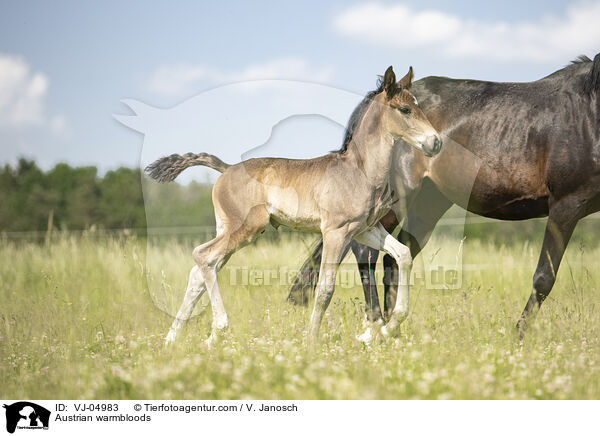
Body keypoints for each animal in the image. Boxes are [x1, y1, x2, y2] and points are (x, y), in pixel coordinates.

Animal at [146, 66, 440, 344]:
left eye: (419, 106)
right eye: (404, 109)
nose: (435, 142)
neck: (360, 170)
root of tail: (226, 168)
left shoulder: (365, 230)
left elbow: (403, 254)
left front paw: (393, 323)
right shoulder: (335, 232)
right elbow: (325, 289)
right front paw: (311, 340)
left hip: (227, 229)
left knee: (200, 271)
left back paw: (175, 340)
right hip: (247, 228)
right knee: (203, 256)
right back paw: (217, 328)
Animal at [288, 54, 600, 338]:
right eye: (405, 110)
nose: (433, 142)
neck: (587, 109)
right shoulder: (566, 205)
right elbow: (544, 277)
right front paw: (519, 337)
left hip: (429, 205)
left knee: (394, 259)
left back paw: (392, 330)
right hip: (395, 203)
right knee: (368, 253)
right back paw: (376, 325)